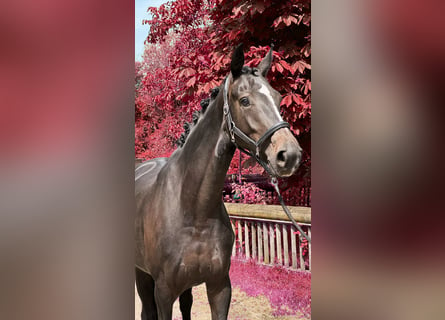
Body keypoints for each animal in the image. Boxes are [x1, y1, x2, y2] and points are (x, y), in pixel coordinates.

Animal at [134, 43, 302, 320]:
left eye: (278, 98)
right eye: (244, 100)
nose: (289, 155)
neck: (194, 210)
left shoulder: (220, 286)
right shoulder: (164, 292)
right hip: (142, 275)